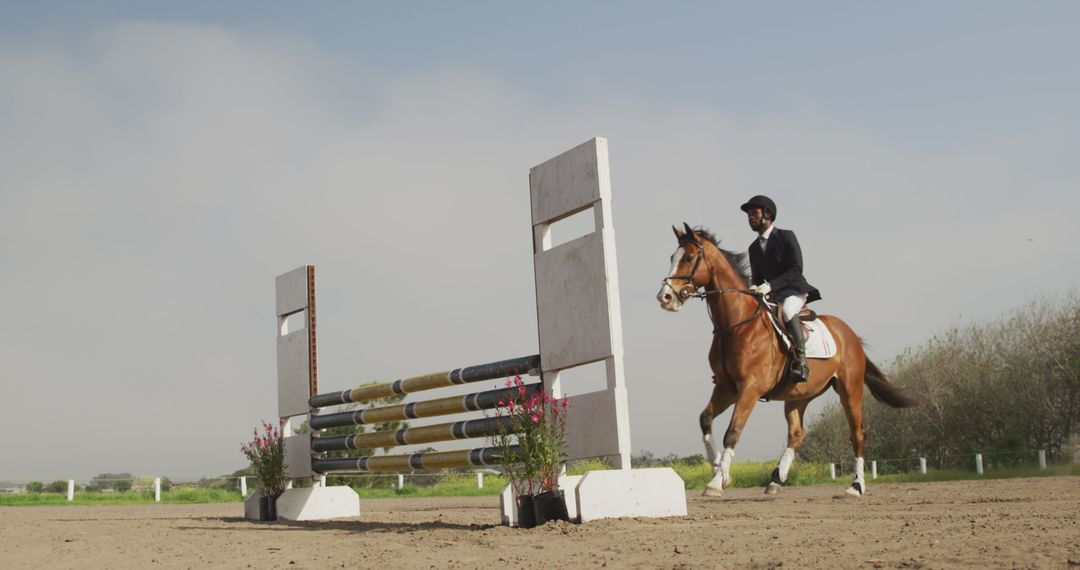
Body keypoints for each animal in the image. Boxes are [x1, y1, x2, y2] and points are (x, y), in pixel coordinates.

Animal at [652, 220, 915, 496]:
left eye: (689, 257)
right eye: (672, 257)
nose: (665, 298)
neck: (736, 324)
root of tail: (851, 335)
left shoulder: (750, 389)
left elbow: (732, 432)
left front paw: (716, 482)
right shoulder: (727, 387)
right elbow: (705, 419)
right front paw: (717, 469)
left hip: (849, 389)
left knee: (858, 433)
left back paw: (855, 486)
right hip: (799, 395)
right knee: (797, 434)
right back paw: (776, 480)